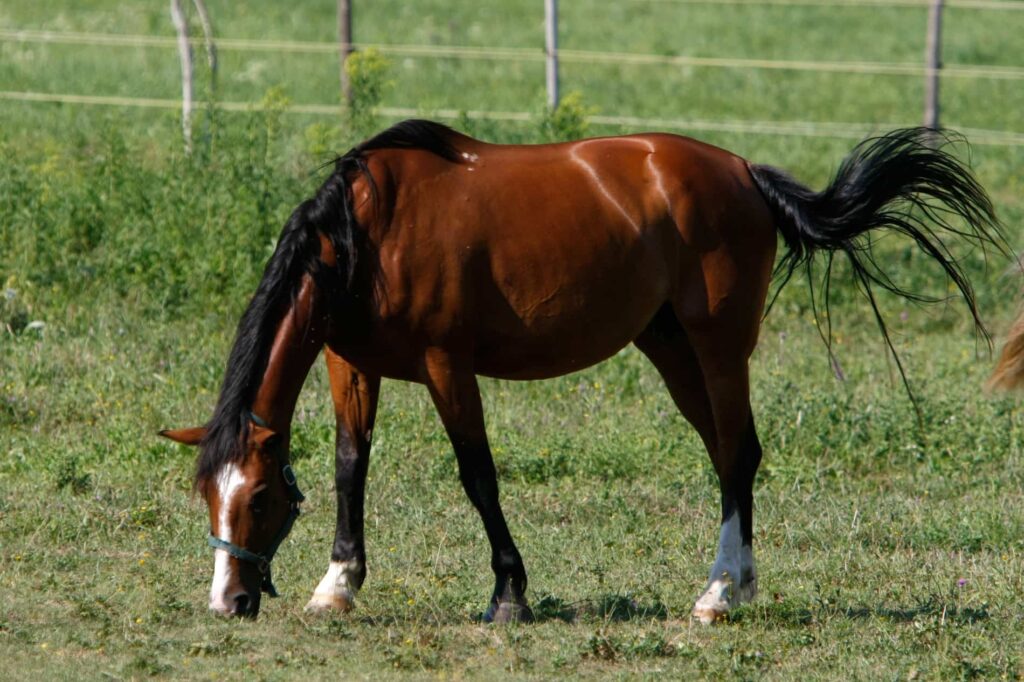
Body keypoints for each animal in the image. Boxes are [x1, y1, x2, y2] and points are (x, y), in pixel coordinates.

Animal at [159, 119, 999, 618]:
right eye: (208, 495)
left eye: (258, 498)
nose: (227, 601)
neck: (368, 233)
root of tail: (743, 172)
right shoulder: (349, 362)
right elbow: (348, 467)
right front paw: (338, 584)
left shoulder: (446, 364)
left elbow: (478, 475)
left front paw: (508, 591)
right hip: (669, 348)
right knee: (730, 453)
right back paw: (741, 582)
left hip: (719, 346)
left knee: (737, 454)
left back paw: (718, 594)